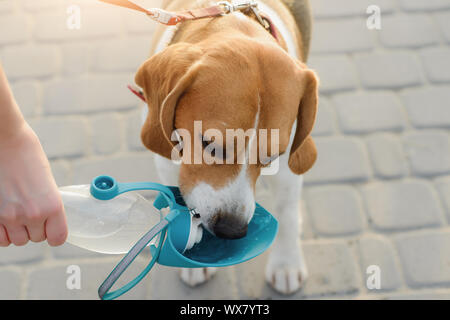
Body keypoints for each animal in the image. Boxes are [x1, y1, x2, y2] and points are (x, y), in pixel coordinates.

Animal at [135, 0, 318, 296]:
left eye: (272, 157)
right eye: (208, 143)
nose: (232, 231)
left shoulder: (287, 166)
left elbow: (287, 212)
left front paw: (286, 263)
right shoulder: (167, 159)